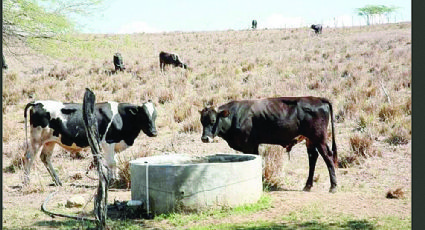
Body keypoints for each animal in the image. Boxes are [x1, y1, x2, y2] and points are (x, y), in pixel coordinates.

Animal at [23, 99, 157, 186]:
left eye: (155, 115)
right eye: (143, 115)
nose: (154, 132)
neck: (120, 117)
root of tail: (37, 102)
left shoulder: (114, 144)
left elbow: (114, 162)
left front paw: (115, 178)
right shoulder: (107, 142)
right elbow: (112, 163)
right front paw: (113, 181)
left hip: (50, 141)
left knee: (45, 157)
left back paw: (57, 181)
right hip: (36, 139)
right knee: (29, 157)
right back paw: (26, 181)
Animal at [200, 96, 338, 193]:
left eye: (213, 120)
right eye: (202, 121)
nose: (205, 138)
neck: (234, 116)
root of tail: (318, 99)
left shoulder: (249, 145)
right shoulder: (254, 145)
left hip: (319, 138)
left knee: (328, 156)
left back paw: (333, 186)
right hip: (310, 140)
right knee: (313, 157)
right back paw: (308, 185)